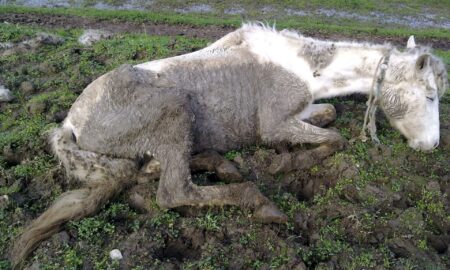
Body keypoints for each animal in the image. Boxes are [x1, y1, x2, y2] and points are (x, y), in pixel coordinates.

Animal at [10, 23, 446, 268]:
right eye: (429, 95)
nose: (430, 146)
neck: (305, 69)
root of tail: (70, 122)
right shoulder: (274, 124)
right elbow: (332, 137)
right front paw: (284, 165)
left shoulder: (304, 110)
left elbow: (330, 116)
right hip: (174, 109)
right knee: (174, 191)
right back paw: (257, 199)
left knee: (156, 170)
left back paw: (213, 164)